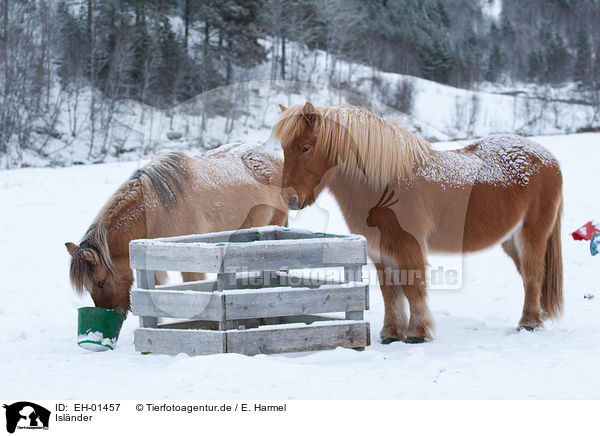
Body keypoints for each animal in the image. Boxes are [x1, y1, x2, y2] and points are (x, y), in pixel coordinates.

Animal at [274, 103, 564, 344]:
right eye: (284, 149)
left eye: (305, 147)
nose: (289, 199)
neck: (386, 184)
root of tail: (548, 157)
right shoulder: (382, 252)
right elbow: (390, 293)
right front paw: (391, 334)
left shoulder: (408, 247)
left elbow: (413, 289)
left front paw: (417, 333)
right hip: (510, 240)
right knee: (529, 276)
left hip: (532, 235)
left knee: (533, 275)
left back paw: (528, 323)